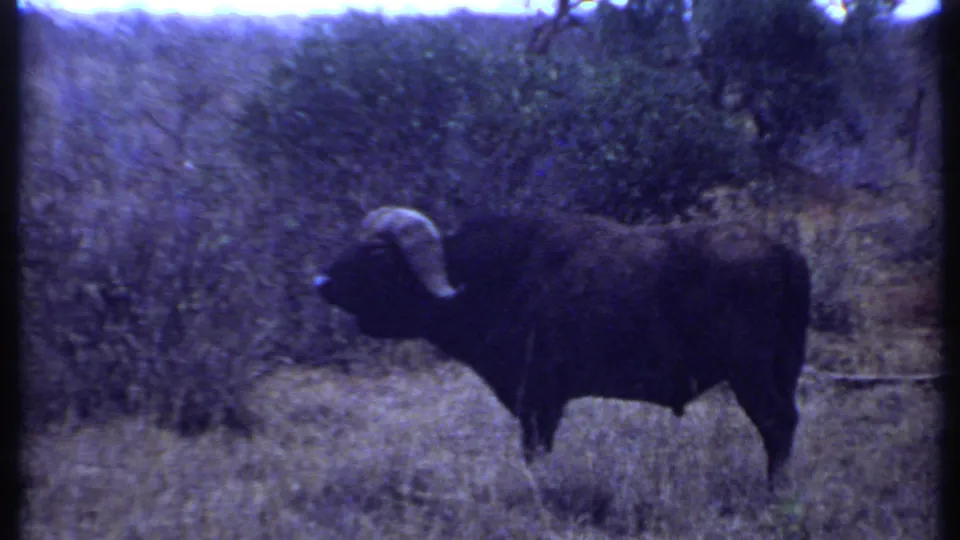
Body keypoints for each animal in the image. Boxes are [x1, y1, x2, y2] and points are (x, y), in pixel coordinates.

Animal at [313, 206, 811, 486]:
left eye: (377, 254)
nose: (322, 281)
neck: (491, 278)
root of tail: (785, 253)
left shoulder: (537, 403)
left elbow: (535, 455)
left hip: (750, 374)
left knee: (776, 425)